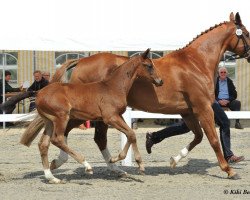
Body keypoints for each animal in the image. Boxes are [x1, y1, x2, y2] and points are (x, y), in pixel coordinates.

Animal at [36, 48, 163, 183]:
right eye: (149, 65)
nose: (160, 81)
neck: (114, 87)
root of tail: (39, 94)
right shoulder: (110, 118)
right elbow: (131, 134)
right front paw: (131, 162)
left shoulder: (118, 116)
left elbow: (130, 134)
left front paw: (129, 162)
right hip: (62, 117)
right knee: (57, 139)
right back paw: (87, 166)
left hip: (50, 122)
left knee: (43, 144)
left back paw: (51, 177)